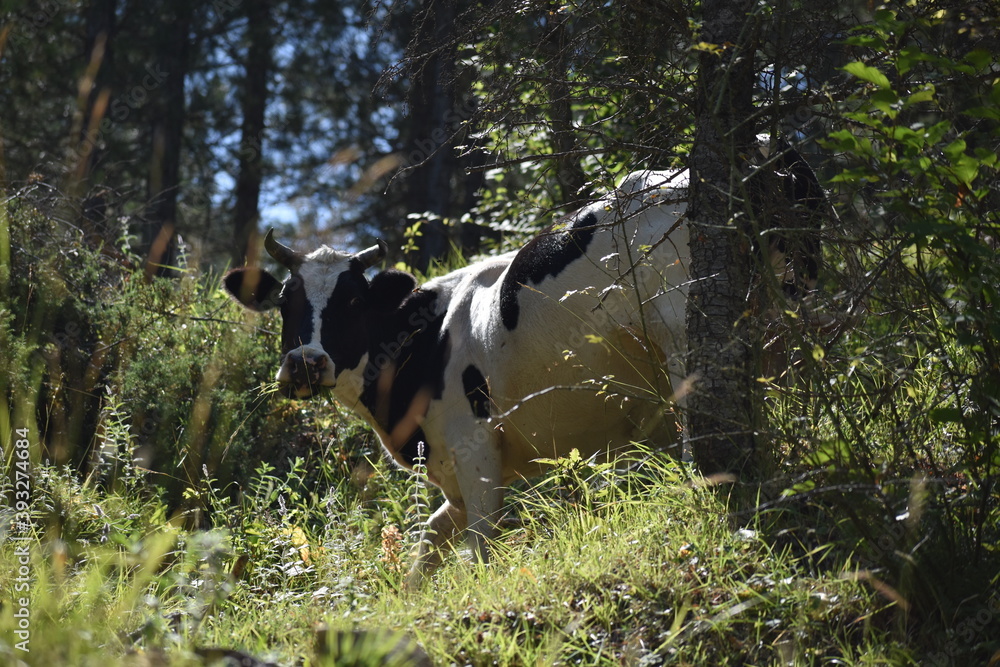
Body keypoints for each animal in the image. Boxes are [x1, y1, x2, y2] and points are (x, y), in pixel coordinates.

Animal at [227, 145, 828, 584]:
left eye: (352, 303)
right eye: (285, 302)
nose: (306, 363)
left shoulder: (474, 448)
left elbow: (480, 548)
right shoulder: (453, 473)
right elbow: (427, 547)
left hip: (684, 329)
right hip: (791, 314)